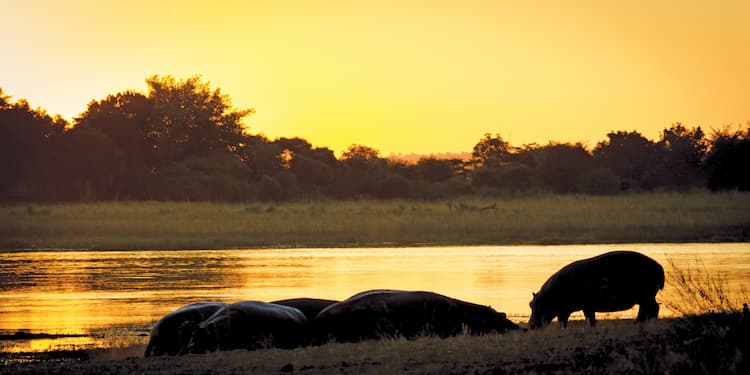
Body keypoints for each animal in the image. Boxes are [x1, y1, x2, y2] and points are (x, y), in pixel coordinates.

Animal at [528, 253, 664, 328]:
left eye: (533, 304)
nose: (530, 325)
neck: (547, 297)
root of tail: (659, 266)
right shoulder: (580, 308)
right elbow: (588, 320)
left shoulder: (579, 307)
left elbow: (585, 319)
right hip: (646, 297)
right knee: (650, 309)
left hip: (646, 296)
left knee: (651, 309)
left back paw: (637, 324)